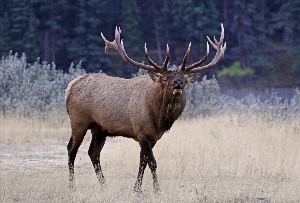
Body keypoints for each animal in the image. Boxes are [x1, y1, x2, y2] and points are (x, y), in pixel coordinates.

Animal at [65, 23, 225, 192]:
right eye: (165, 78)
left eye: (183, 79)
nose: (178, 83)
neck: (158, 118)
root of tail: (70, 86)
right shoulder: (140, 132)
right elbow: (152, 163)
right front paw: (157, 190)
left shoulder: (153, 136)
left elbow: (142, 162)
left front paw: (137, 190)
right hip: (78, 121)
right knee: (71, 149)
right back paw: (72, 187)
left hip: (99, 129)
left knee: (93, 153)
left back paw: (104, 186)